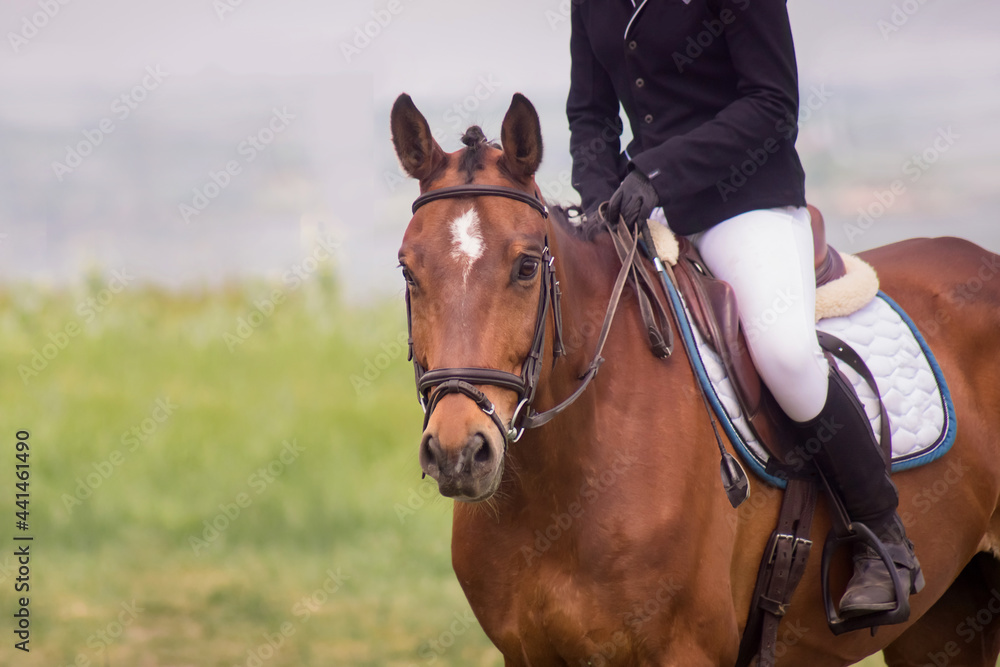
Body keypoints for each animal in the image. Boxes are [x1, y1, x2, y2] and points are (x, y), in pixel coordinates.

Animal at [390, 91, 1000, 666]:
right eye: (407, 270)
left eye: (526, 266)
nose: (458, 452)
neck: (559, 487)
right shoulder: (526, 654)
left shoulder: (686, 649)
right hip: (943, 621)